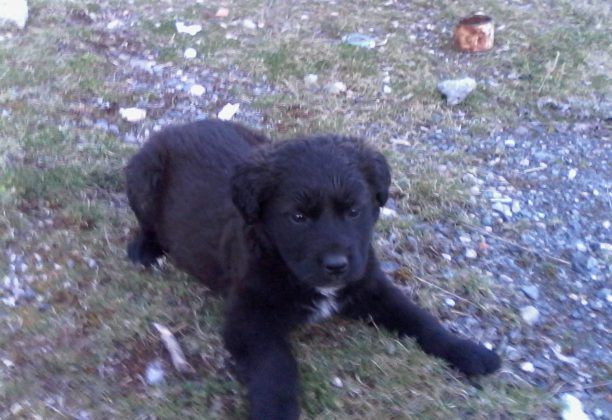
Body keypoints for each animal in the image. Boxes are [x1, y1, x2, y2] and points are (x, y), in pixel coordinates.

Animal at [126, 119, 501, 420]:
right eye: (298, 217)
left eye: (354, 211)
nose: (336, 266)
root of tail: (177, 127)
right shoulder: (248, 316)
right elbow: (276, 366)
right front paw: (275, 413)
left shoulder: (371, 285)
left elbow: (418, 318)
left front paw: (467, 351)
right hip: (143, 178)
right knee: (147, 222)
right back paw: (145, 249)